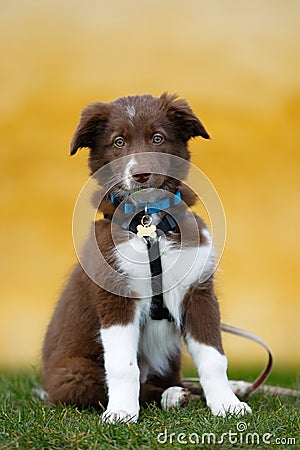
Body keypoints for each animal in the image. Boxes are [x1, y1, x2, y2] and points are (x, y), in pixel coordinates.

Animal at [42, 93, 251, 424]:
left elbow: (213, 356)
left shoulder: (198, 291)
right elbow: (123, 366)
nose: (141, 174)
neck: (148, 220)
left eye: (157, 138)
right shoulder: (116, 296)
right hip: (73, 374)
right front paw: (121, 412)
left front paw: (227, 403)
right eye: (118, 142)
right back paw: (172, 396)